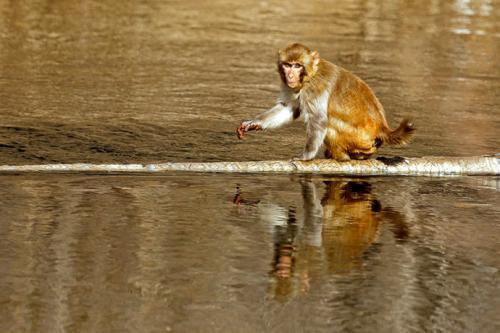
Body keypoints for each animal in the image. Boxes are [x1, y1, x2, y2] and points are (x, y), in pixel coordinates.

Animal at [236, 43, 416, 161]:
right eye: (287, 65)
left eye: (297, 66)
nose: (290, 76)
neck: (311, 74)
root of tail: (382, 127)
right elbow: (290, 108)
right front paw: (254, 123)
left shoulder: (314, 88)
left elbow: (318, 119)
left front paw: (305, 156)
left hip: (358, 138)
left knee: (328, 123)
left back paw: (342, 156)